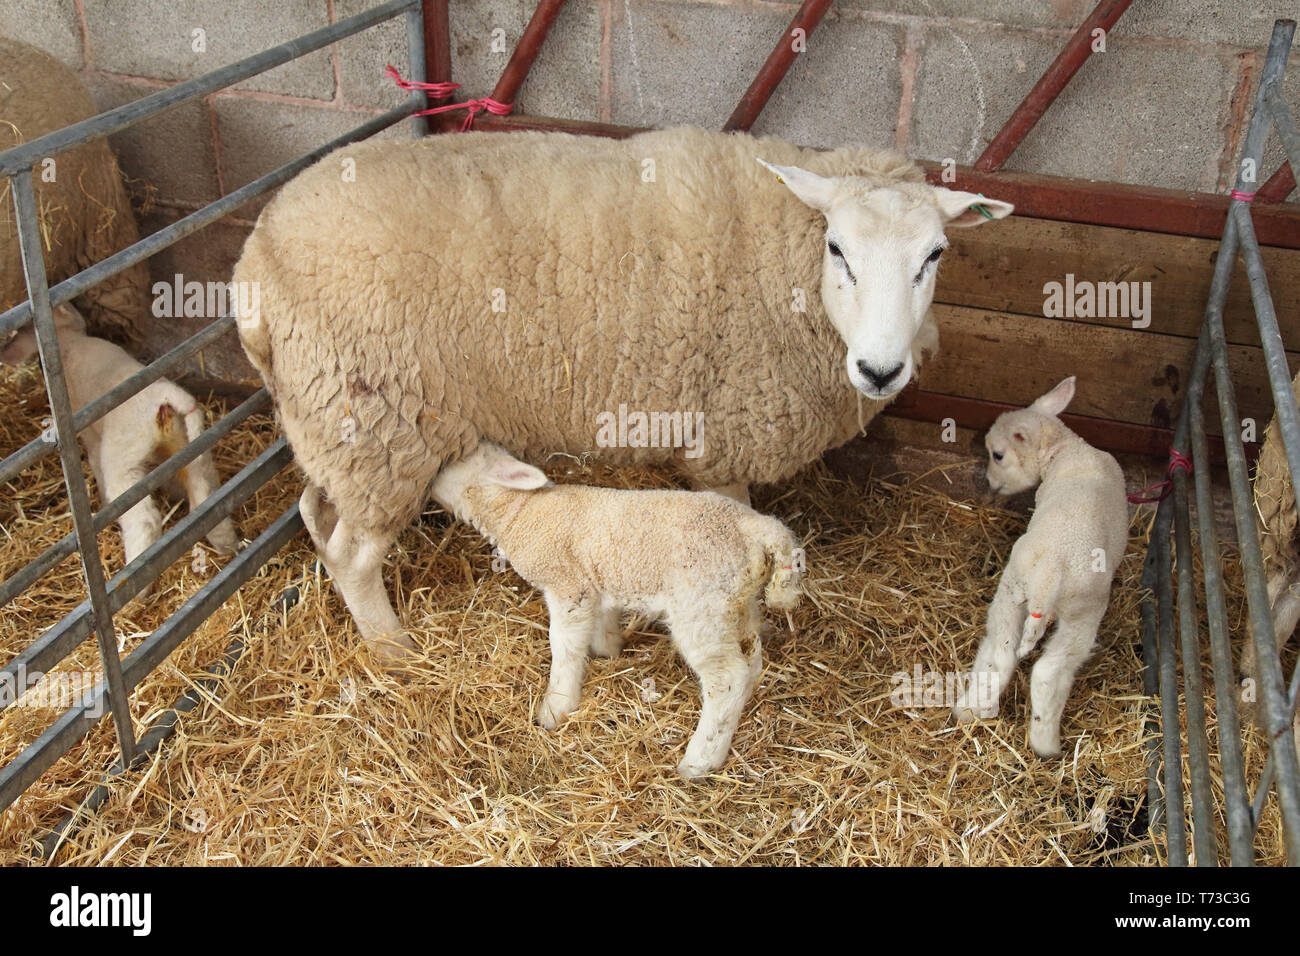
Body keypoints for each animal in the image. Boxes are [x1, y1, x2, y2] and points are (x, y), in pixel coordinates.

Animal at [0, 303, 239, 580]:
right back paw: (227, 544)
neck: (68, 341)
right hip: (190, 444)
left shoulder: (89, 434)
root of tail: (167, 395)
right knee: (205, 492)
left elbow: (94, 461)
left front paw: (103, 502)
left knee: (144, 519)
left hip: (124, 461)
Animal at [233, 128, 1013, 665]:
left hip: (332, 426)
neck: (788, 277)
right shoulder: (724, 442)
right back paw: (394, 649)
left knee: (316, 514)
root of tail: (252, 263)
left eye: (935, 254)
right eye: (837, 249)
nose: (880, 371)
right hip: (378, 427)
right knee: (352, 556)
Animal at [405, 442, 800, 780]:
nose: (426, 483)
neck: (521, 512)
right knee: (751, 664)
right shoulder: (594, 582)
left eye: (453, 461)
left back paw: (701, 760)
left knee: (727, 678)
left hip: (701, 605)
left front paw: (556, 706)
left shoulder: (568, 585)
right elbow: (599, 622)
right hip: (735, 604)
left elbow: (564, 647)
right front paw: (607, 649)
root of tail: (759, 528)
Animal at [951, 377, 1133, 759]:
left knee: (1006, 655)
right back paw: (1044, 742)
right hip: (1081, 610)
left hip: (1020, 587)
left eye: (997, 454)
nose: (990, 483)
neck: (1067, 449)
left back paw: (976, 711)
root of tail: (1050, 575)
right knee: (1044, 667)